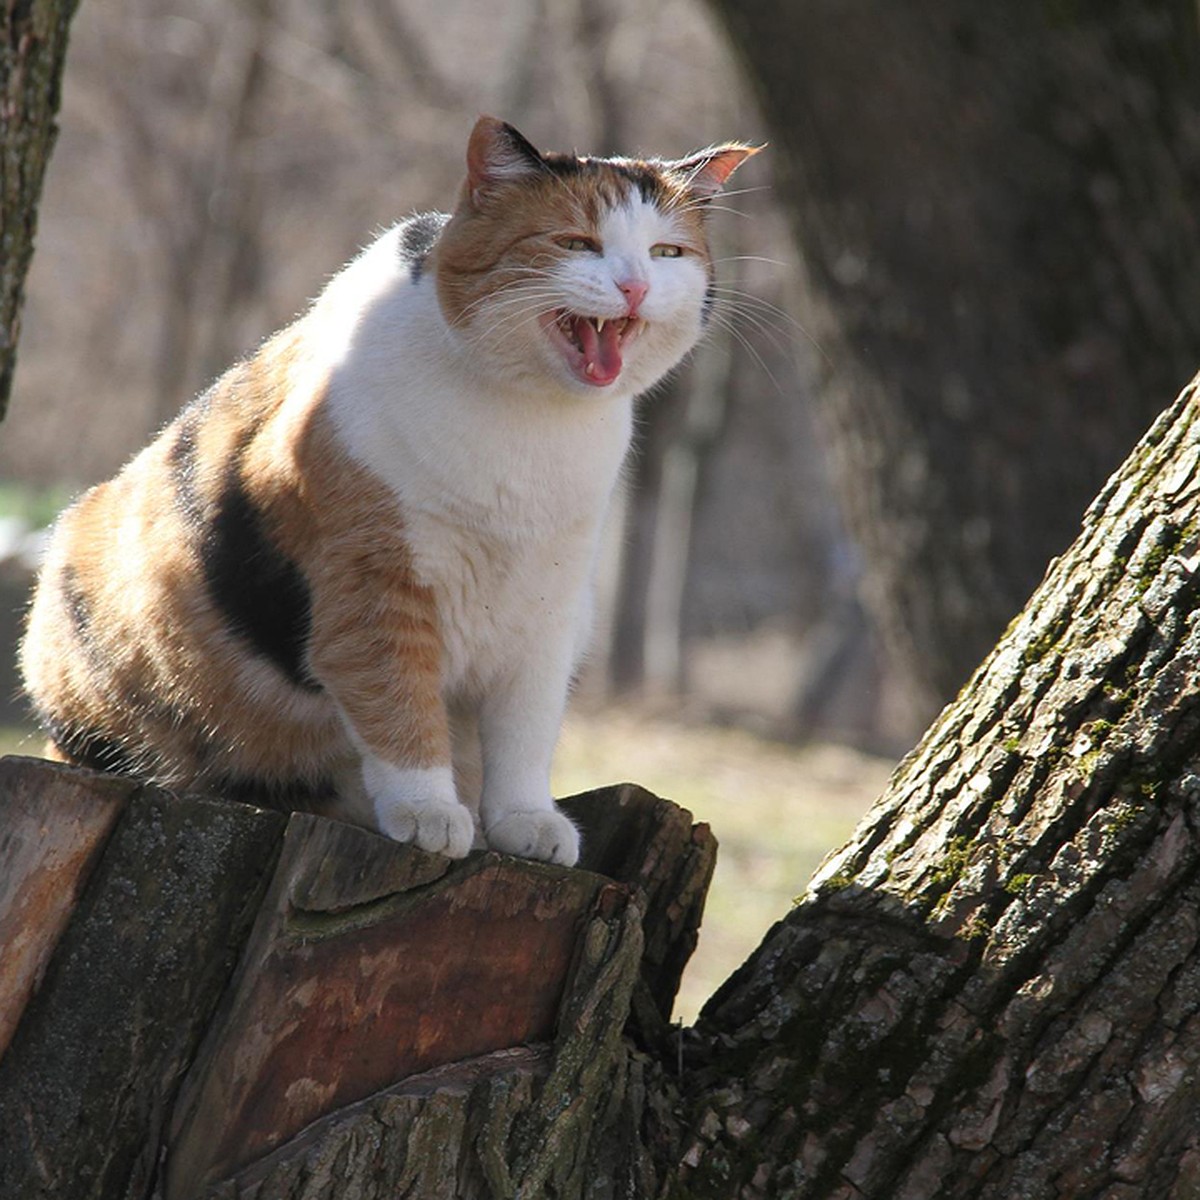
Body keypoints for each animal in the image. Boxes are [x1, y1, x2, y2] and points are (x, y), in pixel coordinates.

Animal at [21, 117, 758, 868]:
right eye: (576, 243)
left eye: (667, 252)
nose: (635, 286)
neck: (528, 429)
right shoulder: (371, 580)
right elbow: (397, 697)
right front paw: (428, 811)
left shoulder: (549, 607)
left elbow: (526, 727)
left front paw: (526, 819)